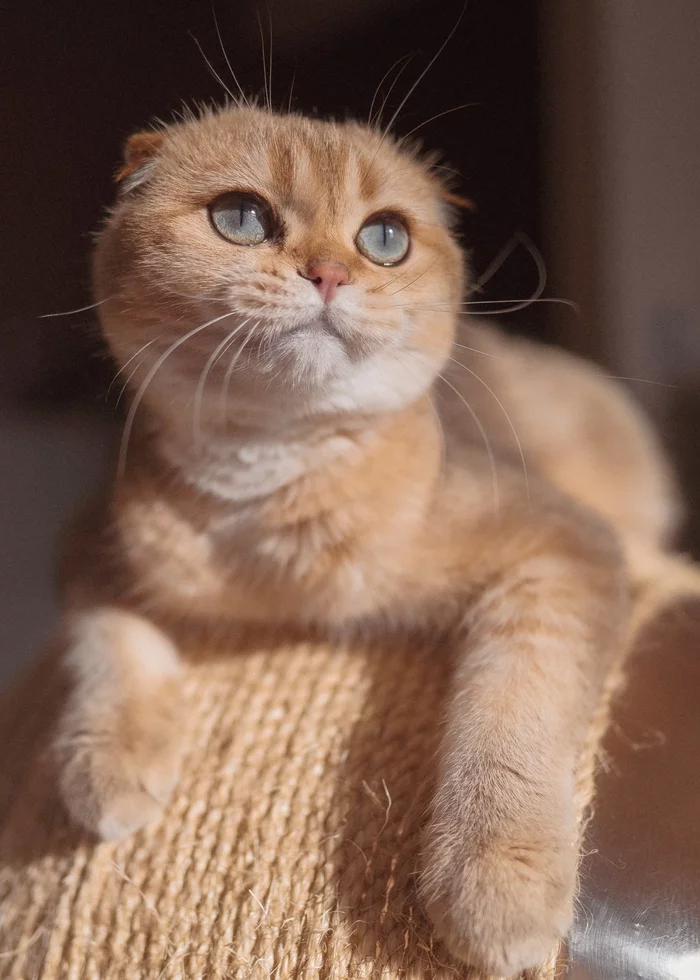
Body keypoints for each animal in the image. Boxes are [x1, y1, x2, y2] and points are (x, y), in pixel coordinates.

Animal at [53, 103, 684, 976]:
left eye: (384, 236)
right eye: (240, 217)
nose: (327, 273)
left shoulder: (564, 547)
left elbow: (515, 706)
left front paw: (496, 873)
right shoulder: (90, 547)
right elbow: (110, 644)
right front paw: (110, 762)